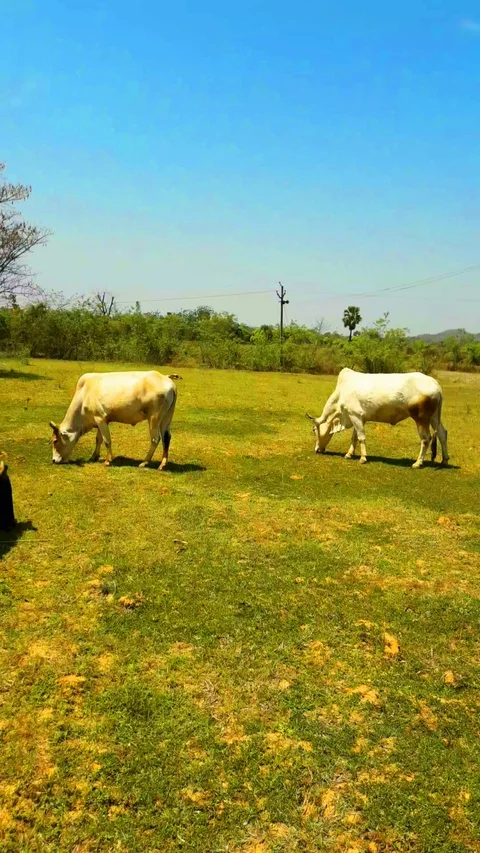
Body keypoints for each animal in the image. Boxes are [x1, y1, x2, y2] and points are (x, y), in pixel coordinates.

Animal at [49, 371, 178, 469]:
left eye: (55, 441)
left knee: (155, 439)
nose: (54, 460)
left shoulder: (100, 418)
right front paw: (94, 456)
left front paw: (108, 461)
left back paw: (145, 462)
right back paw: (163, 464)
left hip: (154, 418)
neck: (84, 394)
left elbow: (107, 440)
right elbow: (98, 439)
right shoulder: (101, 420)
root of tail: (166, 379)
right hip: (166, 417)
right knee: (166, 437)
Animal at [306, 368, 449, 468]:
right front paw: (349, 454)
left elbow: (361, 438)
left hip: (421, 419)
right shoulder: (358, 418)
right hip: (434, 417)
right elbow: (354, 438)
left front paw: (363, 458)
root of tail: (435, 384)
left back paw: (418, 463)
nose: (317, 450)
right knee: (442, 434)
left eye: (314, 430)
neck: (341, 393)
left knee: (426, 439)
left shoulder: (355, 416)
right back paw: (444, 460)